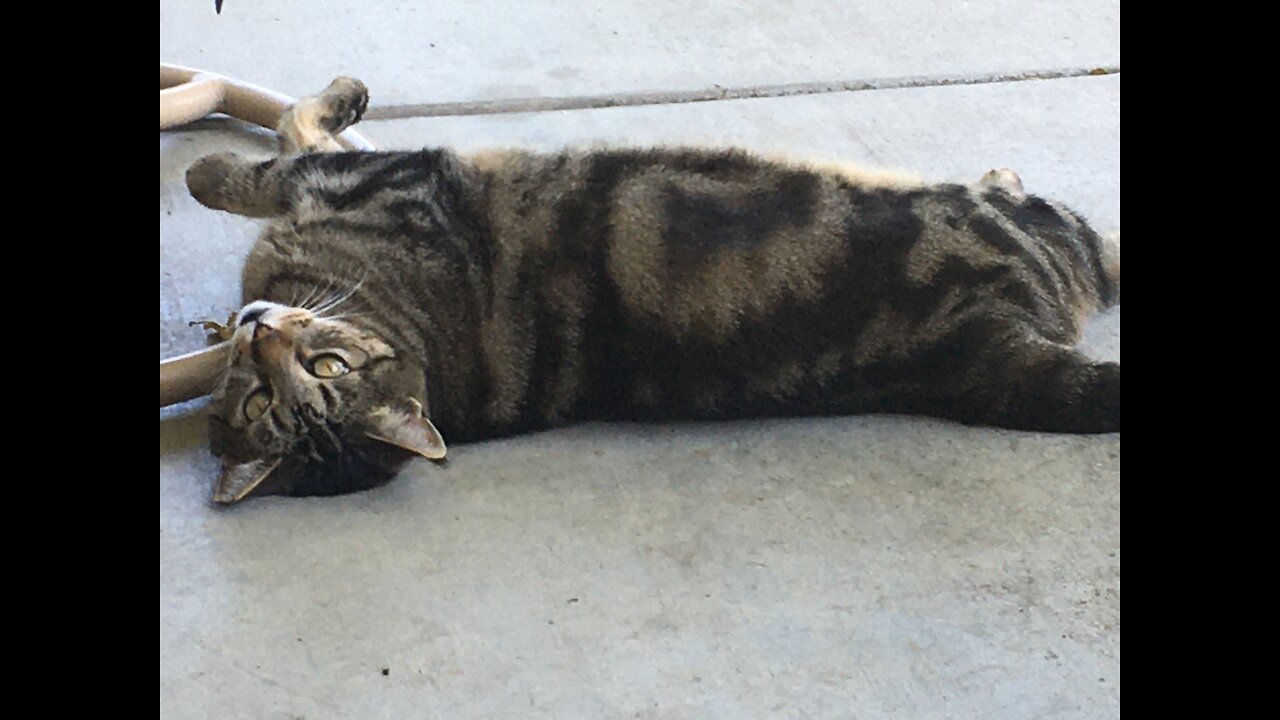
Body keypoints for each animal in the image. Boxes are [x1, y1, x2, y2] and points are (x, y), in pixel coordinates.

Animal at [185, 75, 1116, 502]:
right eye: (264, 402)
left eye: (327, 368)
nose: (261, 330)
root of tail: (978, 348)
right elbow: (278, 152)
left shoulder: (386, 179)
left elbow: (266, 158)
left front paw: (217, 160)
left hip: (1036, 222)